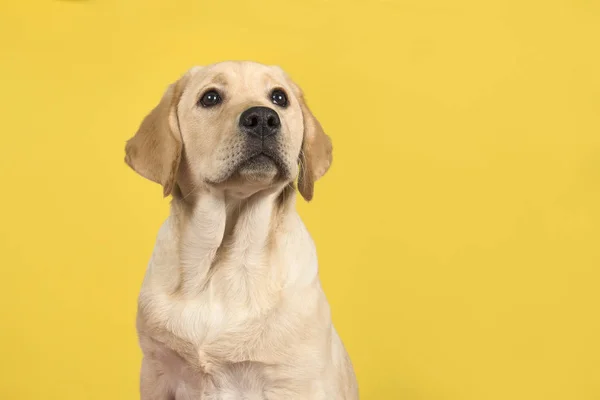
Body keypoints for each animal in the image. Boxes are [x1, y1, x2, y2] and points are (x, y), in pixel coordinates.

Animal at [122, 61, 356, 398]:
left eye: (279, 97)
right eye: (210, 98)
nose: (263, 119)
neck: (223, 260)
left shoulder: (294, 381)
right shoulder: (157, 371)